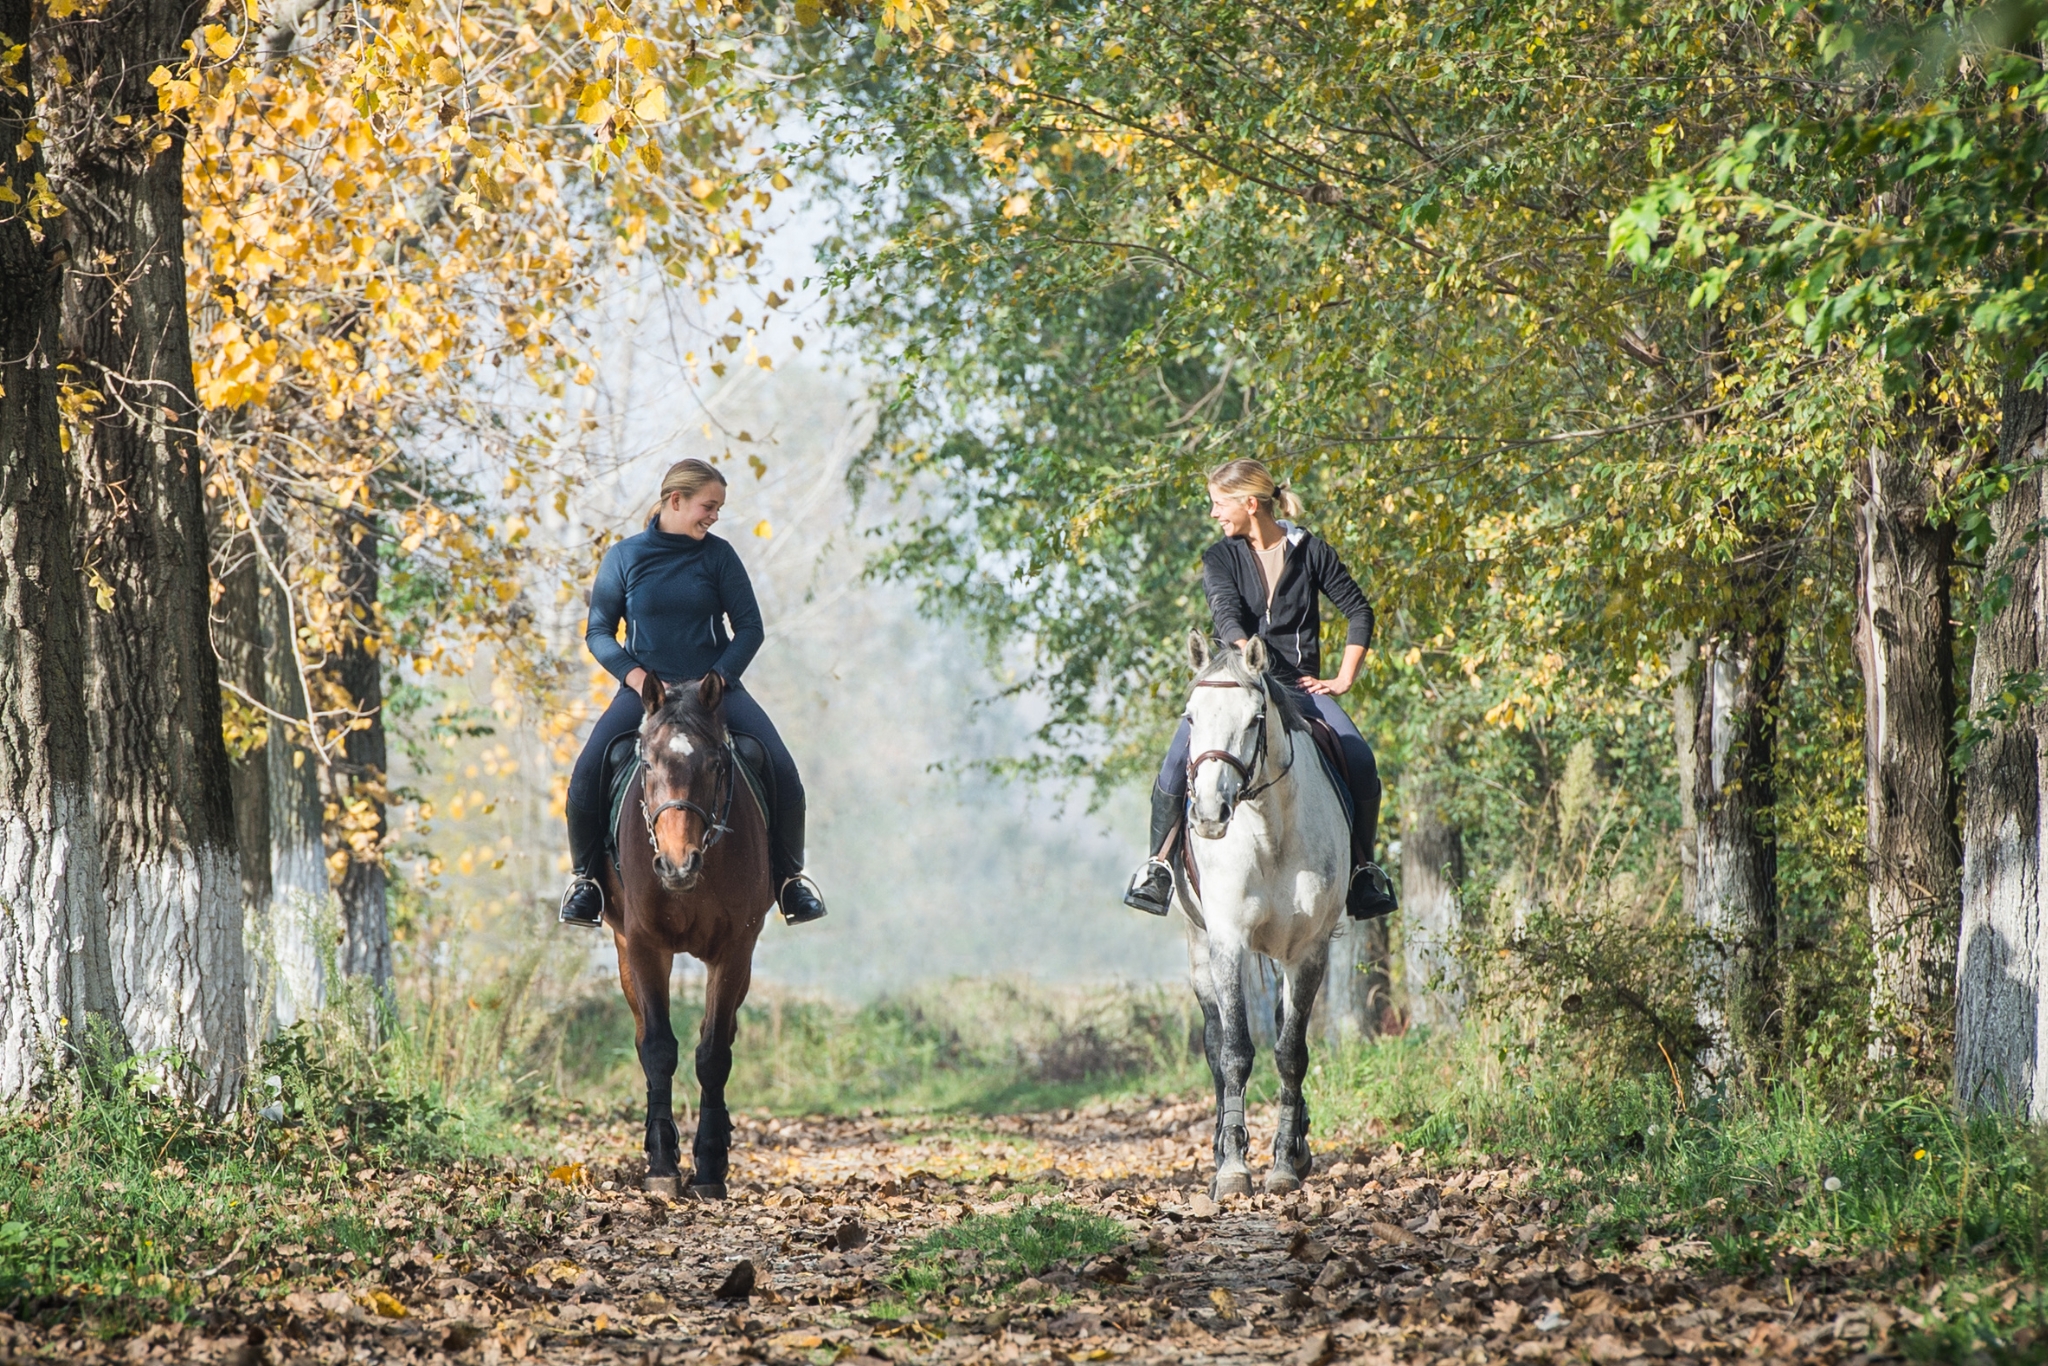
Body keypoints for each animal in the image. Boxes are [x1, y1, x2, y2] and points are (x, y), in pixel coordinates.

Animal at [600, 671, 774, 1199]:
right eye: (647, 763)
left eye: (716, 764)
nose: (678, 865)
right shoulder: (644, 944)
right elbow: (658, 1049)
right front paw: (662, 1163)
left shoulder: (736, 950)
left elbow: (713, 1052)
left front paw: (711, 1165)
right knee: (643, 1038)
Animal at [1174, 633, 1352, 1197]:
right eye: (1190, 718)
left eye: (1255, 718)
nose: (1209, 815)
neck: (1269, 832)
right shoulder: (1227, 942)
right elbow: (1234, 1051)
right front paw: (1233, 1168)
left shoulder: (1308, 951)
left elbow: (1290, 1051)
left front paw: (1284, 1164)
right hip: (1197, 947)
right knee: (1214, 1043)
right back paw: (1219, 1148)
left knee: (1281, 1028)